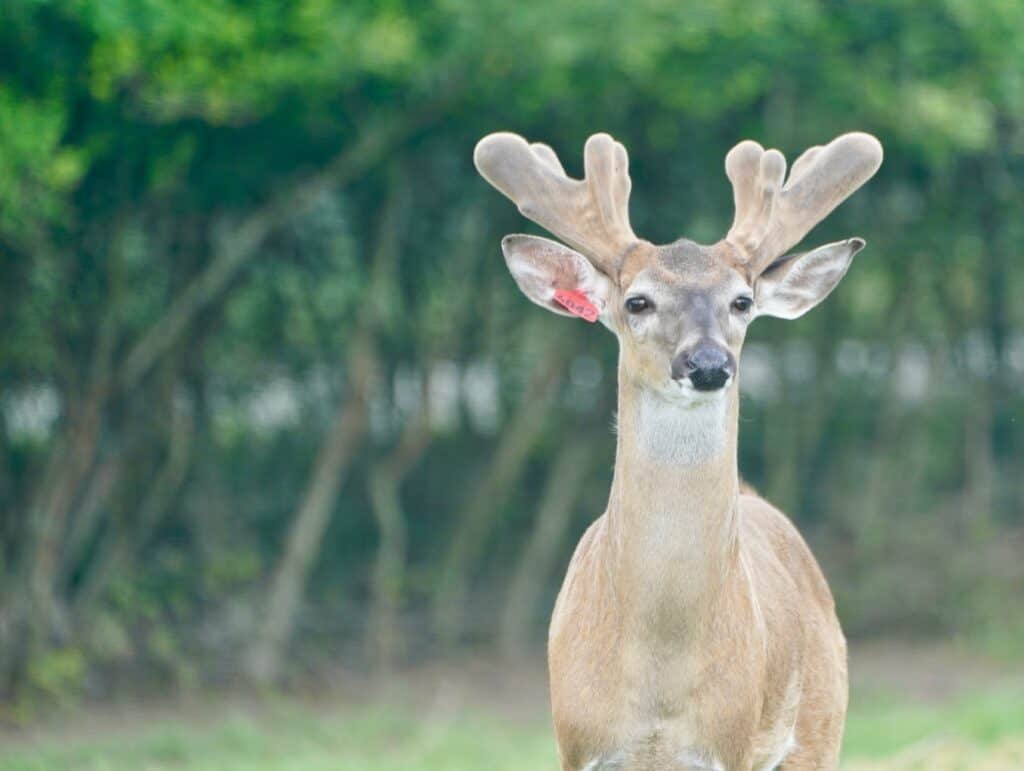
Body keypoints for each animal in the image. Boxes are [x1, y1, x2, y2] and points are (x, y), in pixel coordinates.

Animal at [473, 130, 882, 770]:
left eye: (742, 301)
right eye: (637, 302)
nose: (709, 363)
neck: (656, 691)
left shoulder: (729, 747)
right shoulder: (577, 743)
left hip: (821, 724)